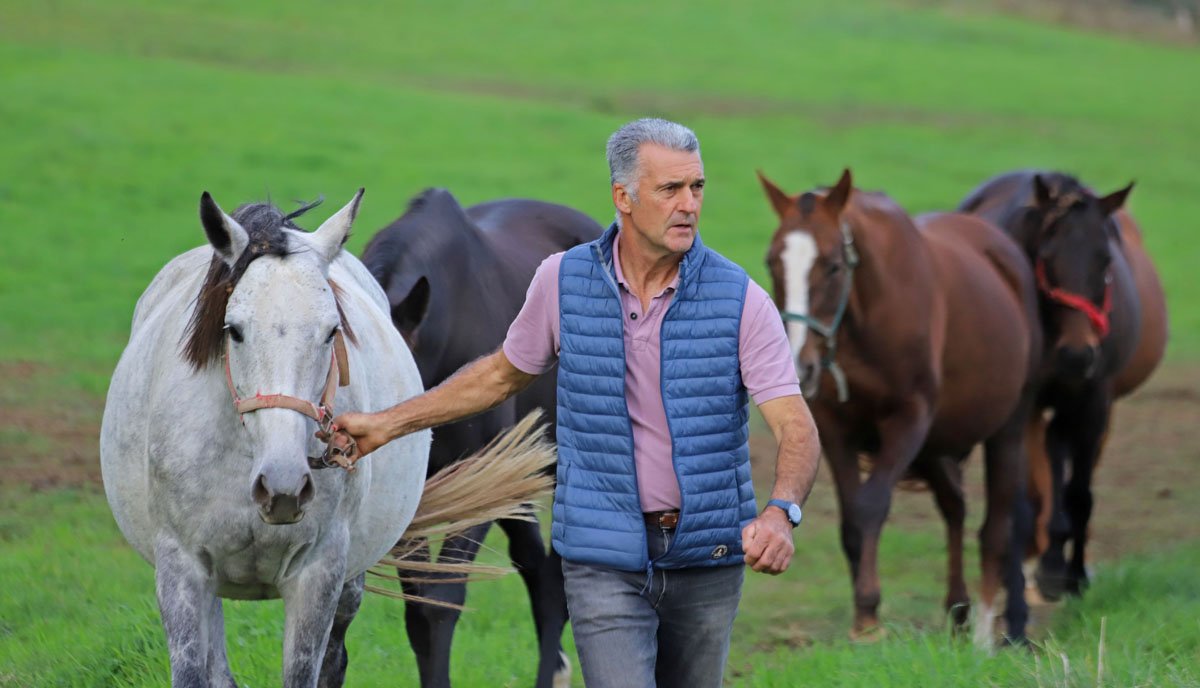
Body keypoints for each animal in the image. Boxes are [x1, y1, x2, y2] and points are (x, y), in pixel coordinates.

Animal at [759, 169, 1042, 645]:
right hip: (937, 445)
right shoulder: (834, 426)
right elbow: (851, 519)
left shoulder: (909, 419)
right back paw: (958, 609)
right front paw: (863, 610)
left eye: (833, 266)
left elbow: (871, 506)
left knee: (995, 527)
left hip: (1008, 426)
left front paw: (869, 616)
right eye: (772, 263)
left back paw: (985, 631)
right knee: (954, 506)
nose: (799, 363)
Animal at [958, 171, 1168, 599]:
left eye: (1105, 260)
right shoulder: (1029, 404)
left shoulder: (1093, 402)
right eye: (1046, 259)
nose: (1076, 355)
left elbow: (1078, 493)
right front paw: (1045, 567)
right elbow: (1036, 488)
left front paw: (1072, 574)